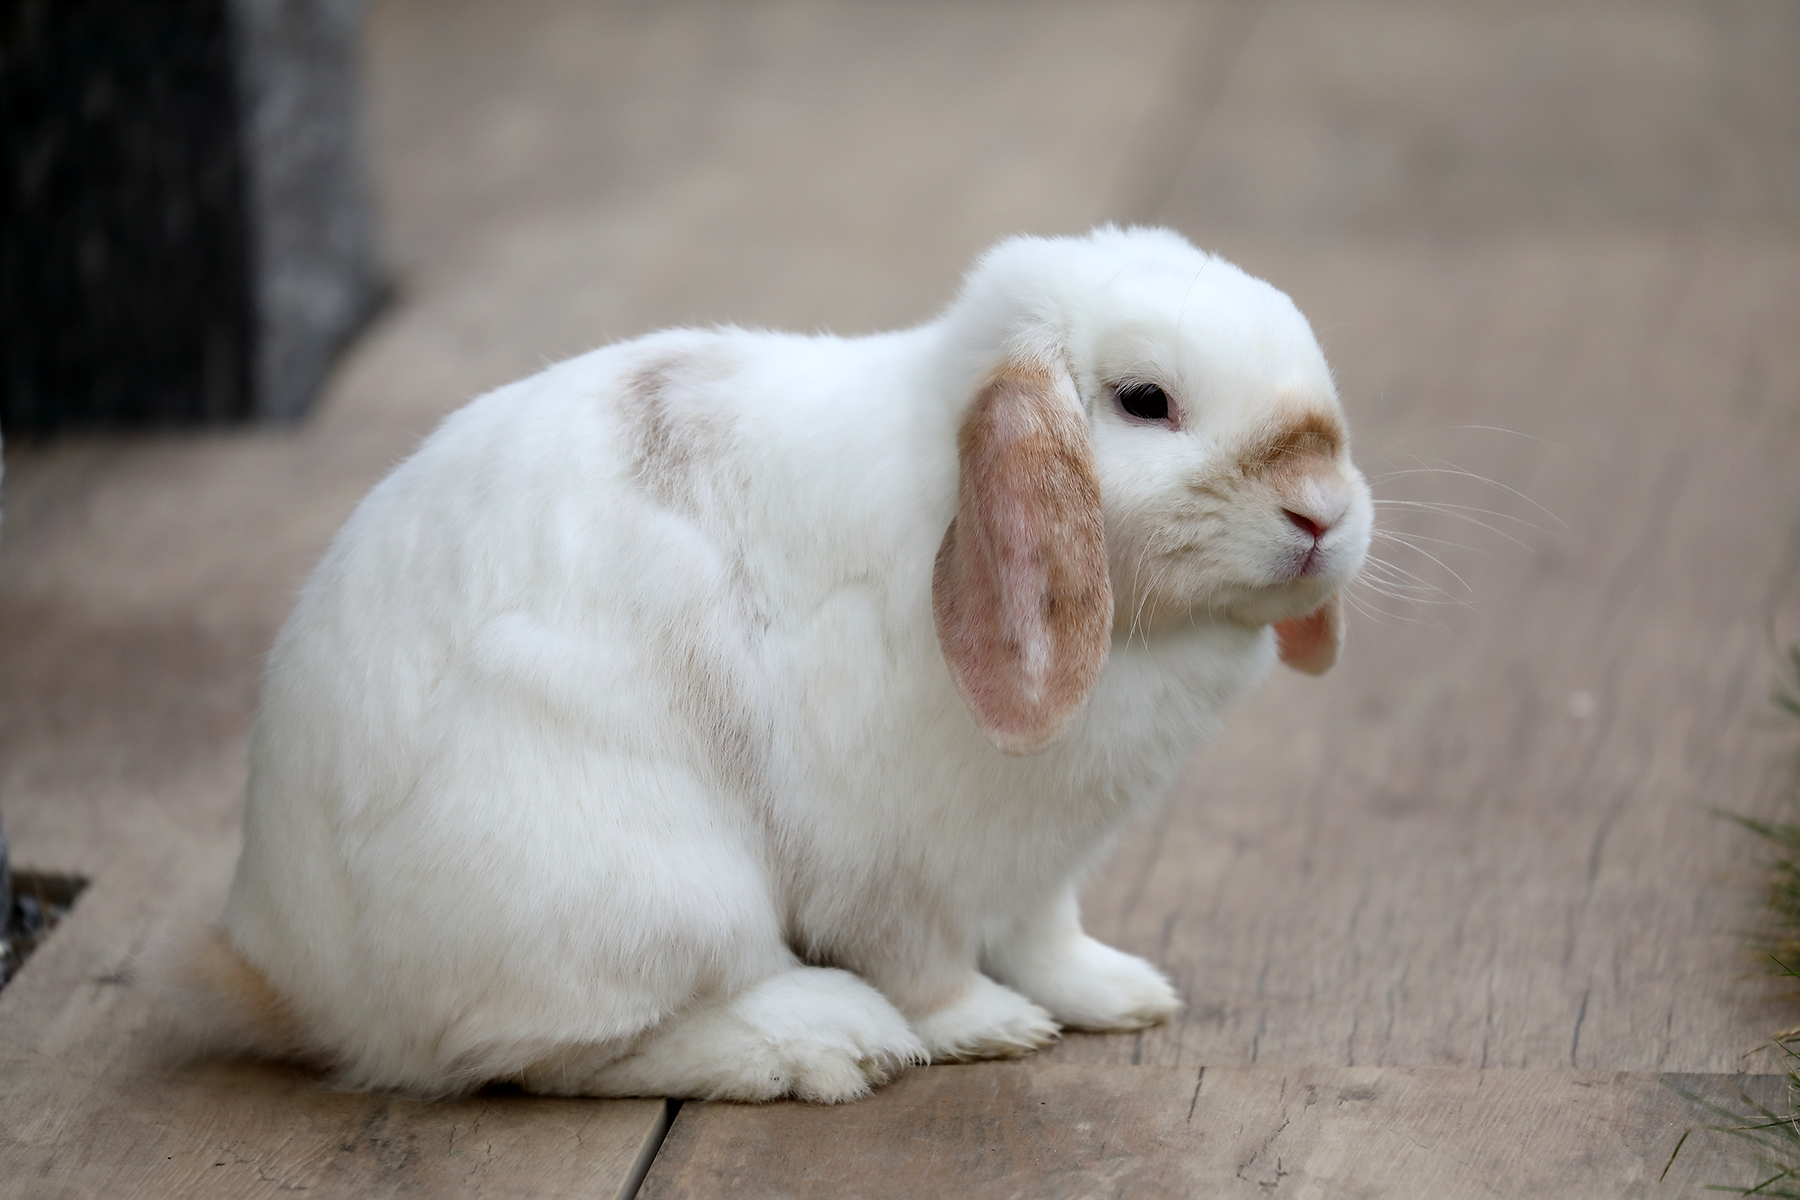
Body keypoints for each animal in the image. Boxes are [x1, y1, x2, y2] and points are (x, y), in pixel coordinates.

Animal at [185, 225, 1372, 1104]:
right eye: (1144, 401)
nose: (1322, 511)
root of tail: (290, 972)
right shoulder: (889, 857)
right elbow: (924, 959)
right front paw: (991, 1028)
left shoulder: (1038, 862)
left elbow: (1046, 932)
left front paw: (1118, 996)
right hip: (659, 891)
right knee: (547, 1054)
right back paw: (825, 1041)